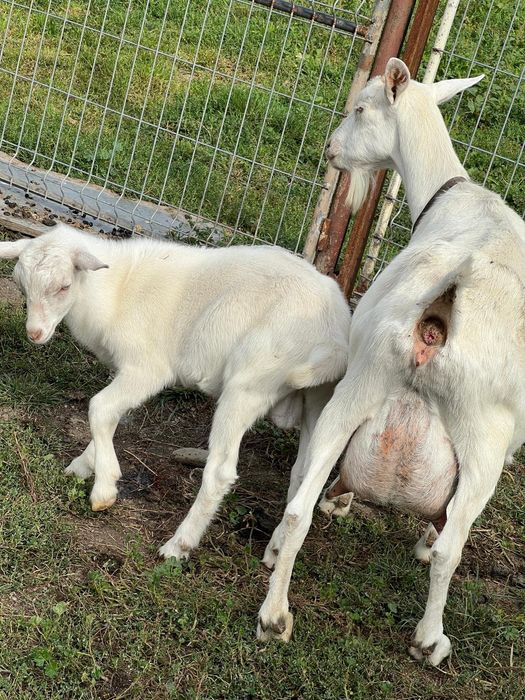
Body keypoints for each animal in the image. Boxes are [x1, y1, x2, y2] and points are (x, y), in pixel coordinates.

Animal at [0, 226, 350, 558]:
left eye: (63, 286)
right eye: (21, 287)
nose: (35, 334)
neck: (116, 289)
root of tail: (334, 337)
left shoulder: (147, 368)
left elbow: (99, 408)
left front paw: (104, 488)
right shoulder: (128, 372)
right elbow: (111, 415)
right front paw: (83, 466)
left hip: (250, 384)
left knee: (221, 471)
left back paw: (178, 545)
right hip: (318, 399)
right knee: (304, 474)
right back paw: (276, 551)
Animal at [257, 58, 524, 666]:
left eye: (360, 108)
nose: (331, 149)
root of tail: (442, 305)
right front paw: (423, 543)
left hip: (359, 385)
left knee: (300, 500)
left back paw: (274, 612)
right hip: (483, 439)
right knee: (453, 546)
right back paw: (430, 639)